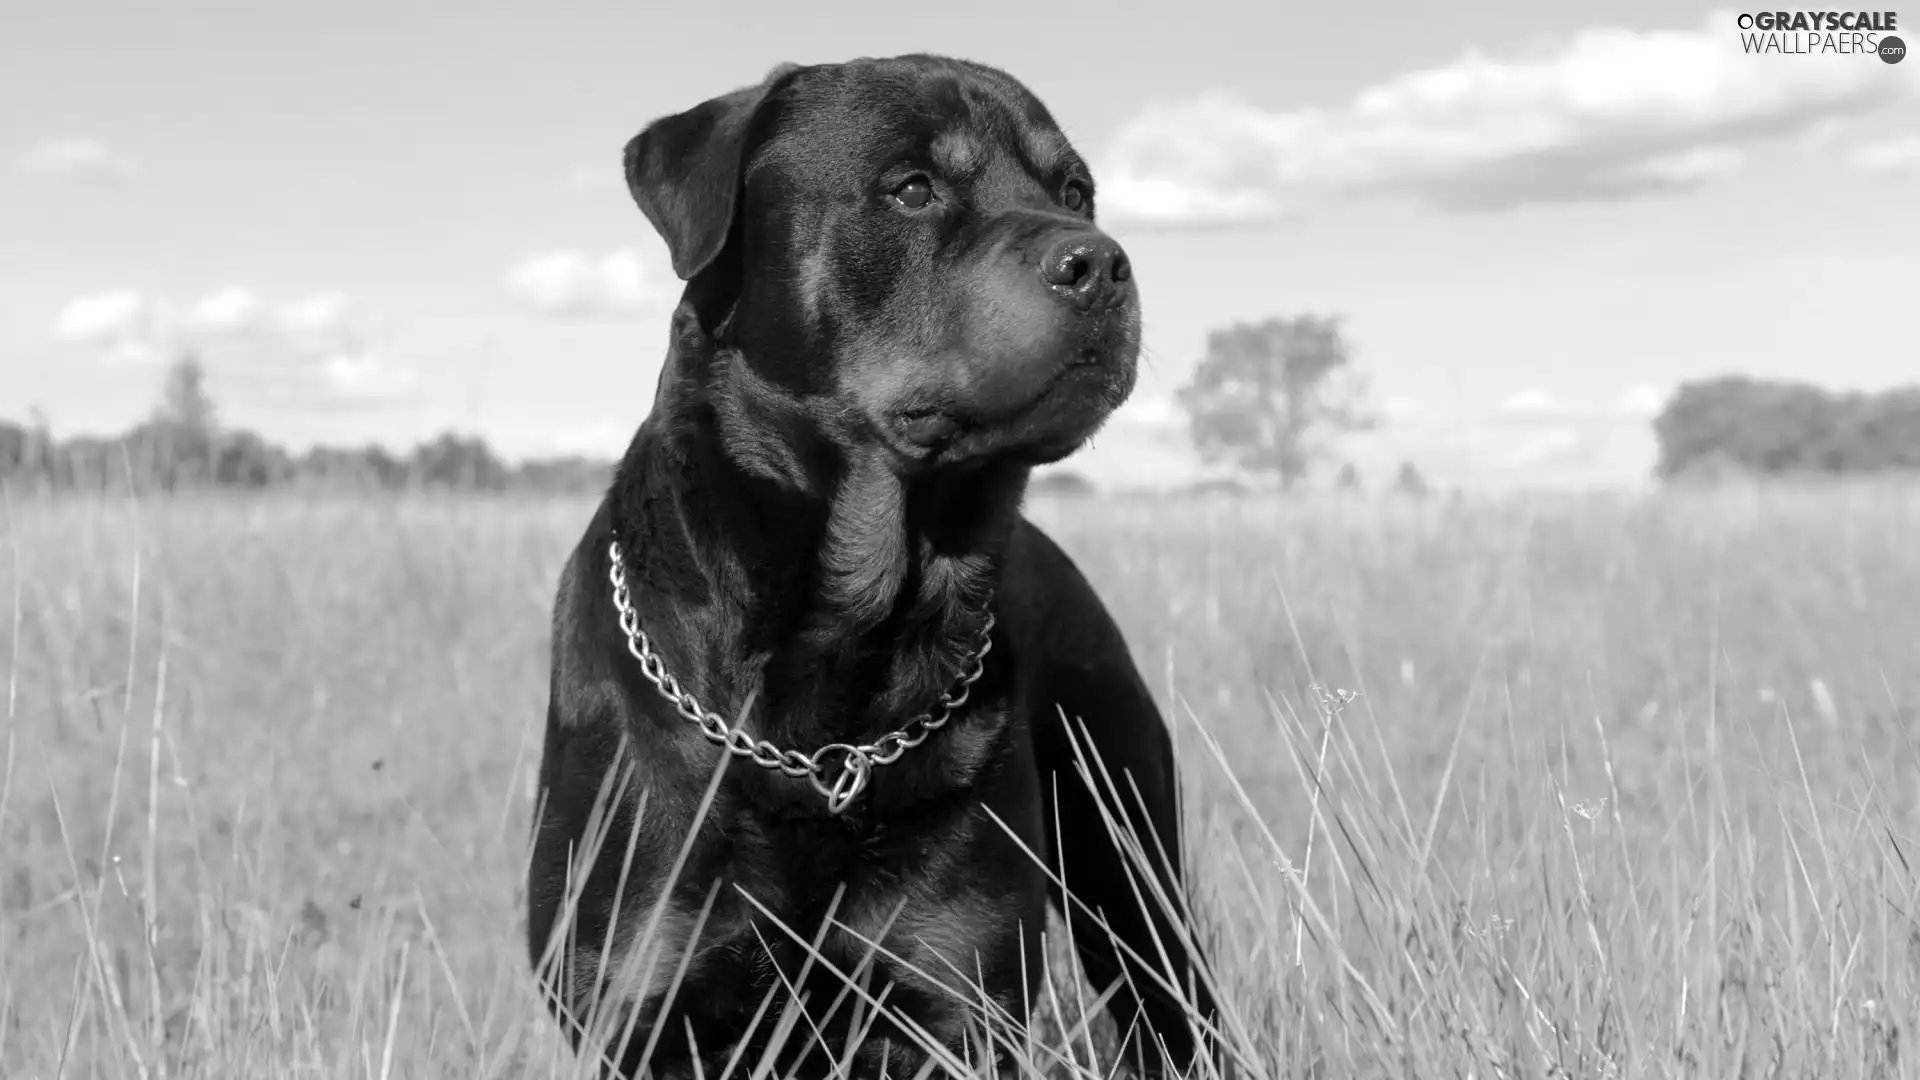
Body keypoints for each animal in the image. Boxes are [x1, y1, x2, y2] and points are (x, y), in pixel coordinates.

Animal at [529, 56, 1213, 1076]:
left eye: (1075, 193)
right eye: (912, 189)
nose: (1101, 262)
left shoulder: (955, 991)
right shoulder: (642, 998)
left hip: (1134, 876)